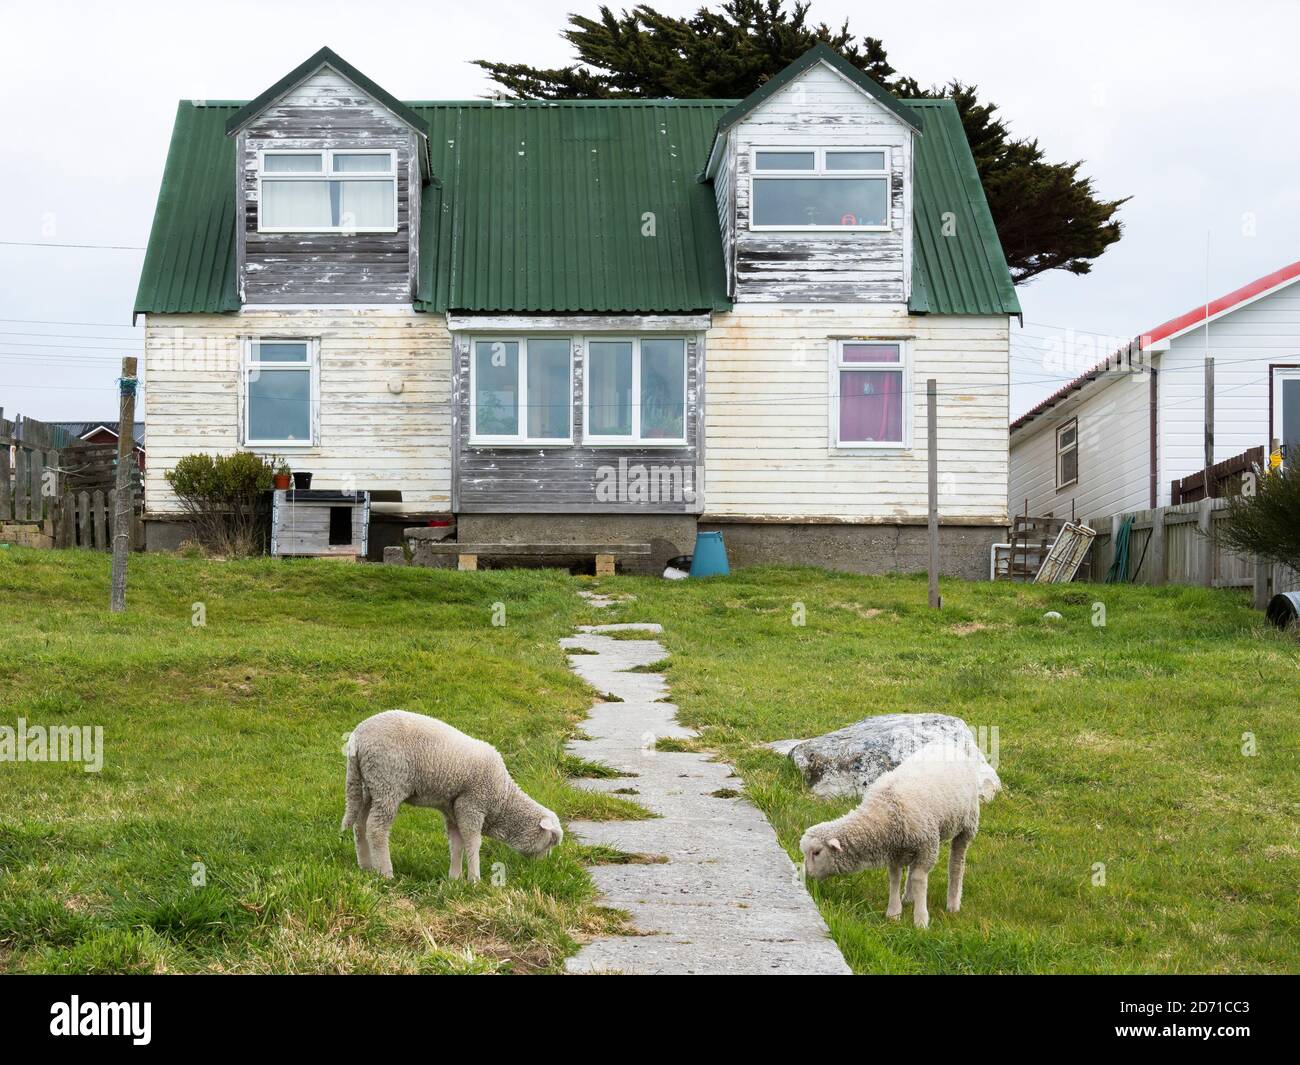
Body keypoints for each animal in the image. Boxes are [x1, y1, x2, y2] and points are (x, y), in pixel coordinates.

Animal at [338, 707, 561, 884]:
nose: (543, 867)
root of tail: (357, 737)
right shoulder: (472, 806)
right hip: (388, 782)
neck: (503, 798)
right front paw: (474, 880)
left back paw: (366, 866)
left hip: (369, 784)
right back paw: (385, 873)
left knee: (359, 824)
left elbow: (456, 844)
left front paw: (455, 878)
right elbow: (473, 843)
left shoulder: (453, 810)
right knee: (376, 829)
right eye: (552, 841)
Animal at [795, 738, 998, 931]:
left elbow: (919, 878)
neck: (884, 809)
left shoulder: (928, 845)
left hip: (967, 824)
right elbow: (895, 877)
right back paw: (908, 897)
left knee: (956, 863)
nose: (807, 876)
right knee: (912, 868)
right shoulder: (895, 849)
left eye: (817, 852)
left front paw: (921, 920)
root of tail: (948, 745)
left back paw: (953, 904)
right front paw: (893, 913)